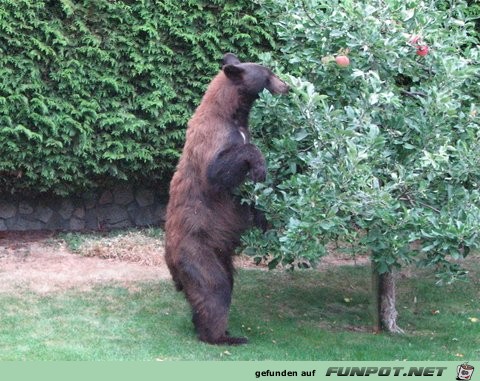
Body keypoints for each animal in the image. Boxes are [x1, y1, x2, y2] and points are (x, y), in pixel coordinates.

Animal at [164, 52, 288, 342]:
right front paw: (261, 167)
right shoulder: (213, 139)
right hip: (195, 250)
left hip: (219, 253)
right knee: (214, 287)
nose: (287, 86)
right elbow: (219, 170)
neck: (233, 114)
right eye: (269, 73)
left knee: (224, 284)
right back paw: (222, 336)